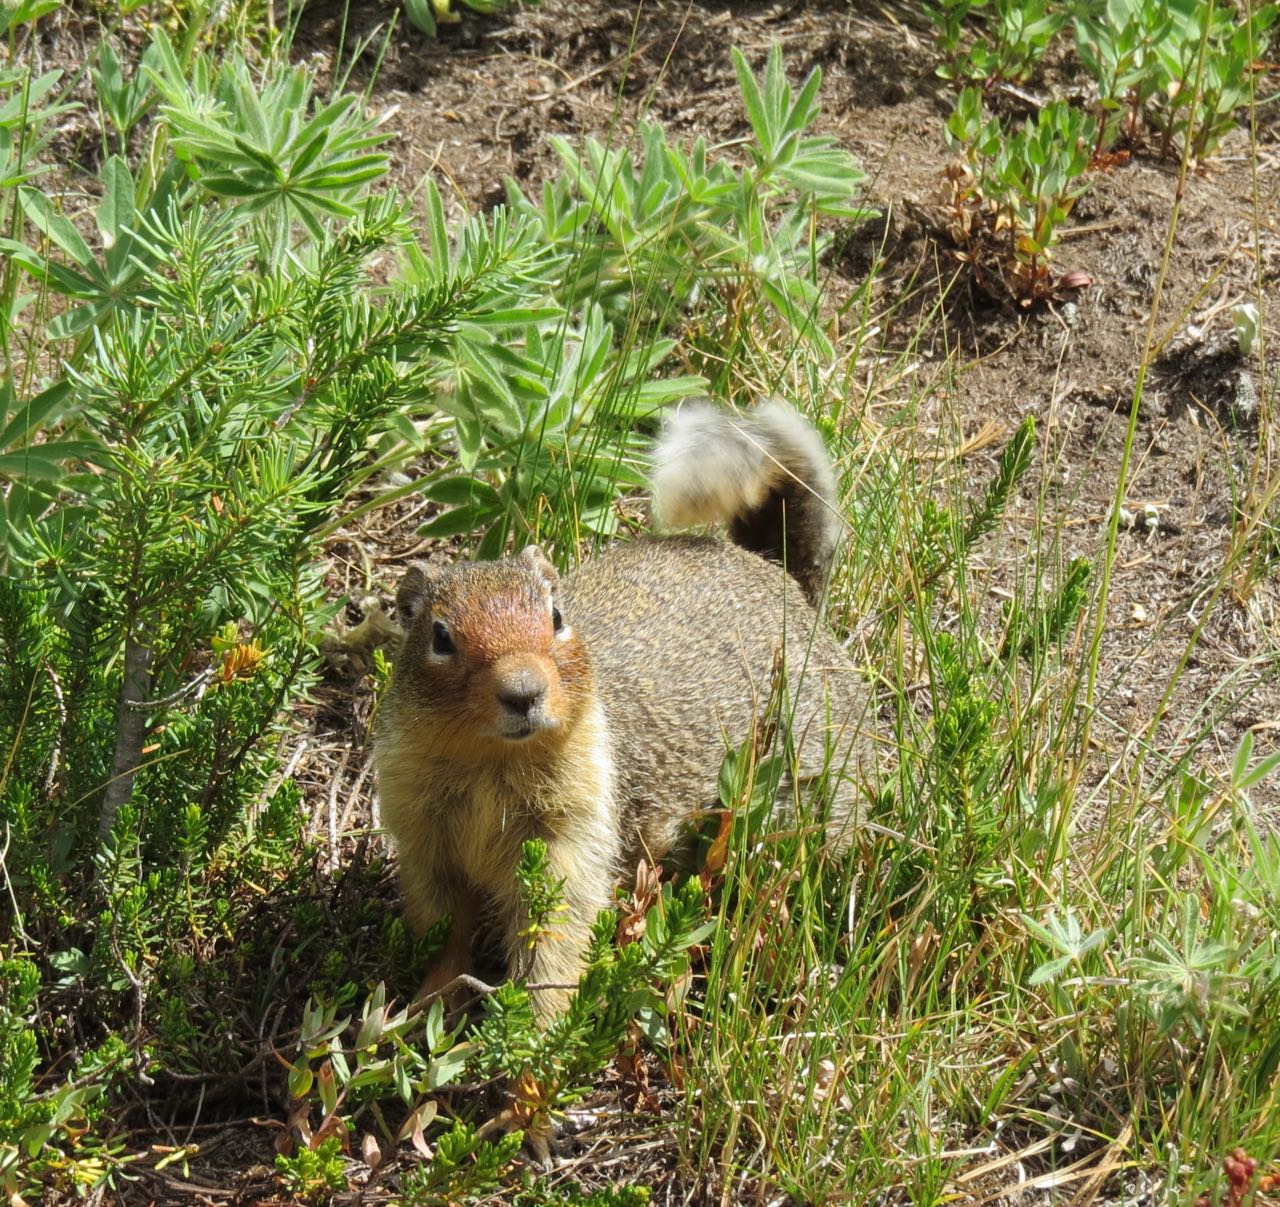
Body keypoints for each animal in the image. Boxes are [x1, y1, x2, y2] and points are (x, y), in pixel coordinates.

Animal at [375, 401, 873, 1016]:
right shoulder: (422, 831)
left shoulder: (574, 830)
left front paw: (540, 1027)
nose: (523, 691)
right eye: (440, 638)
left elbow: (556, 932)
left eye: (557, 616)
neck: (490, 763)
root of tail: (784, 583)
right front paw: (426, 1006)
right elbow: (444, 927)